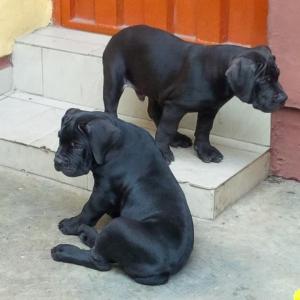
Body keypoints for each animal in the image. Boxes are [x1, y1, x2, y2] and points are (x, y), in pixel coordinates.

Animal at [50, 108, 193, 286]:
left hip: (119, 226)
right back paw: (87, 234)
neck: (114, 146)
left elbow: (88, 210)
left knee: (100, 261)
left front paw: (72, 225)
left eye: (76, 145)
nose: (57, 161)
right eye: (59, 138)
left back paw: (64, 249)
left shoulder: (103, 192)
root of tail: (164, 271)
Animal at [103, 24, 288, 163]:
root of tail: (118, 33)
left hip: (156, 85)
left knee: (154, 112)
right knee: (111, 109)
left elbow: (204, 130)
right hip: (114, 80)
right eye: (264, 80)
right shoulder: (175, 107)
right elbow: (166, 129)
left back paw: (177, 138)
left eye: (278, 75)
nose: (283, 98)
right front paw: (162, 151)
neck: (217, 73)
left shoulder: (209, 109)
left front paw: (205, 151)